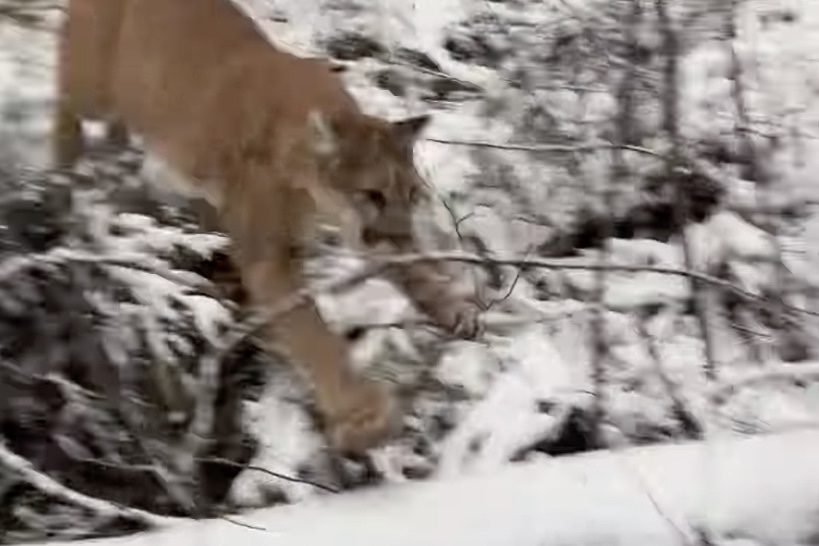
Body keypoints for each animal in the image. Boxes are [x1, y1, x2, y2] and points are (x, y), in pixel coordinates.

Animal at [55, 0, 482, 454]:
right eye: (372, 194)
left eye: (412, 194)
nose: (399, 233)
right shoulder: (269, 258)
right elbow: (313, 333)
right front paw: (364, 417)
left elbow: (411, 266)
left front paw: (451, 306)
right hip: (93, 87)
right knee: (65, 102)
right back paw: (63, 177)